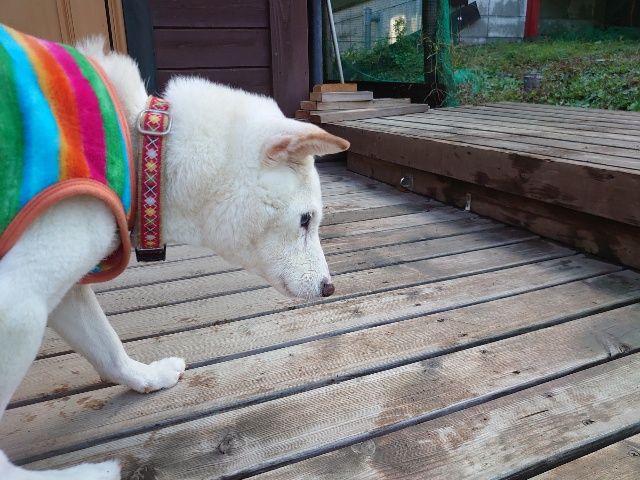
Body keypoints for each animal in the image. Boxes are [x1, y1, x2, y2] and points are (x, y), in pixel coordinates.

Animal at [0, 26, 349, 479]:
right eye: (306, 219)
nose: (328, 287)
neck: (145, 149)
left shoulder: (64, 290)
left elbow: (106, 347)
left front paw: (147, 377)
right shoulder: (18, 304)